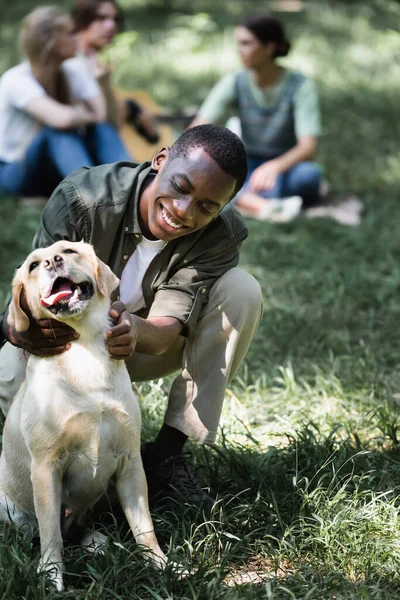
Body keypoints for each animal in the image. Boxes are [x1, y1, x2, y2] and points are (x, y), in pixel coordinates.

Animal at [0, 239, 167, 592]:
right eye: (33, 265)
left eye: (68, 251)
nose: (52, 260)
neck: (85, 349)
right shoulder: (46, 467)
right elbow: (51, 534)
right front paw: (51, 578)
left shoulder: (130, 461)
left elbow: (144, 526)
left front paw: (163, 566)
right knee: (32, 533)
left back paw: (96, 541)